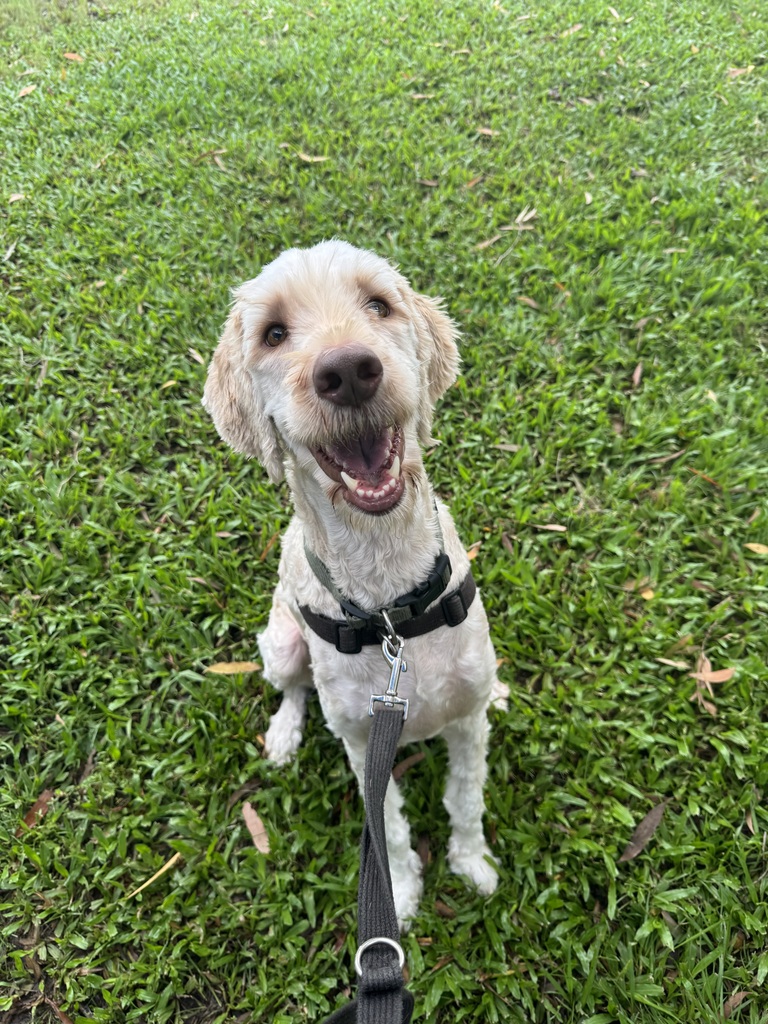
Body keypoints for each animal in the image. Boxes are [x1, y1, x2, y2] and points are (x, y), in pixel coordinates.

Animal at [203, 240, 507, 925]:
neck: (392, 605)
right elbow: (387, 828)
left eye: (378, 304)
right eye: (274, 333)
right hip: (281, 644)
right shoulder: (363, 745)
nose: (346, 371)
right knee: (292, 689)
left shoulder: (467, 725)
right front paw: (406, 891)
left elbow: (466, 798)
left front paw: (471, 863)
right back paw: (284, 734)